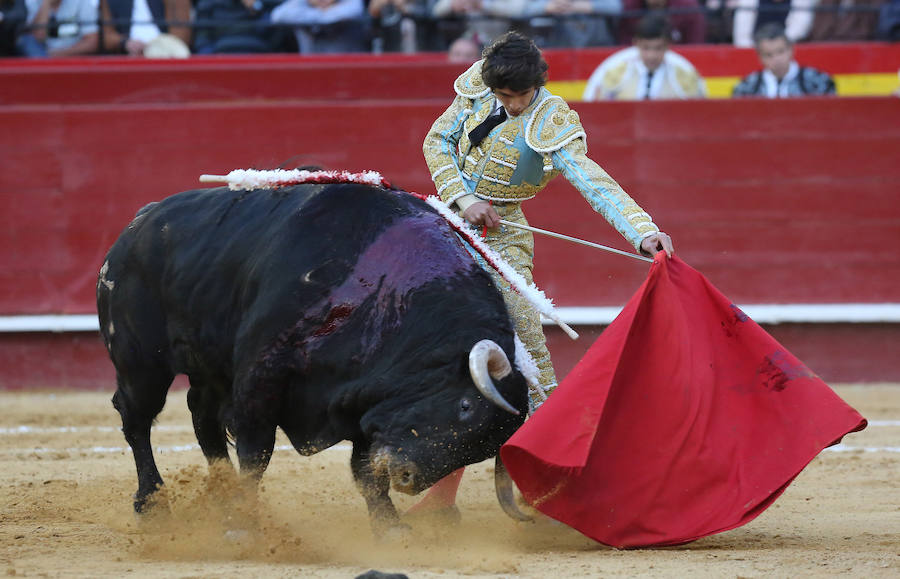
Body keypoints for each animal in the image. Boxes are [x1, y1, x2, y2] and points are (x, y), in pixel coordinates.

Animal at [96, 181, 536, 536]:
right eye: (465, 406)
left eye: (480, 450)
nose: (407, 476)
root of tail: (140, 221)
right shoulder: (260, 378)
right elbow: (256, 454)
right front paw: (243, 526)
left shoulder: (364, 405)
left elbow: (366, 472)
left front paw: (390, 527)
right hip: (141, 361)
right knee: (136, 419)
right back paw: (153, 505)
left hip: (209, 365)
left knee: (202, 417)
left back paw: (220, 496)